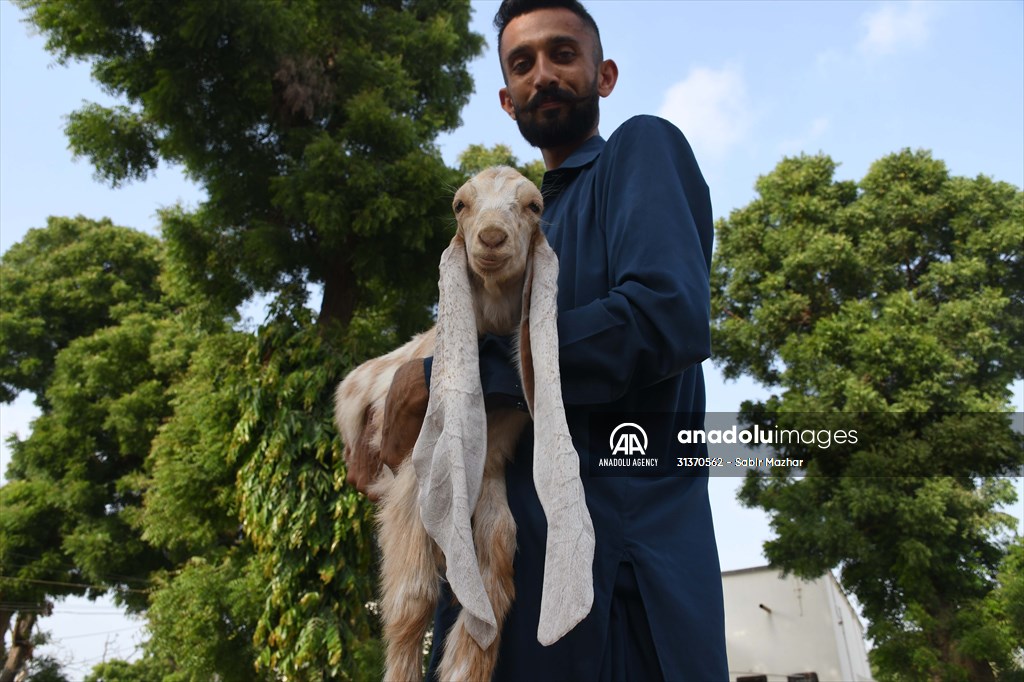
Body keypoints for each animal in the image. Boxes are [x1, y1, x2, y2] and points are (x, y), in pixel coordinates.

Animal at [335, 165, 593, 679]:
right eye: (460, 204)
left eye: (534, 205)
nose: (491, 238)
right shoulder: (415, 471)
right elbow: (413, 598)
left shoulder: (490, 459)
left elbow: (499, 545)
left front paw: (465, 663)